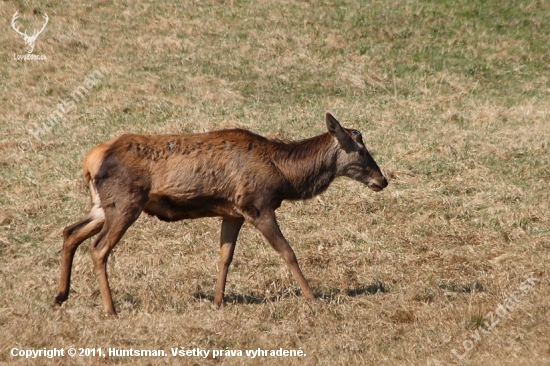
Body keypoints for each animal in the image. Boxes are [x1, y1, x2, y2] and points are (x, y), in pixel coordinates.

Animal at [51, 111, 388, 314]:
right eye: (361, 151)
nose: (382, 180)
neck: (283, 177)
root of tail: (90, 160)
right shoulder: (257, 204)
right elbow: (288, 252)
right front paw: (313, 297)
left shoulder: (233, 212)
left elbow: (225, 256)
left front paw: (217, 300)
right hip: (125, 202)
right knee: (98, 247)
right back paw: (110, 308)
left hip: (101, 205)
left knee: (70, 231)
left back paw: (60, 295)